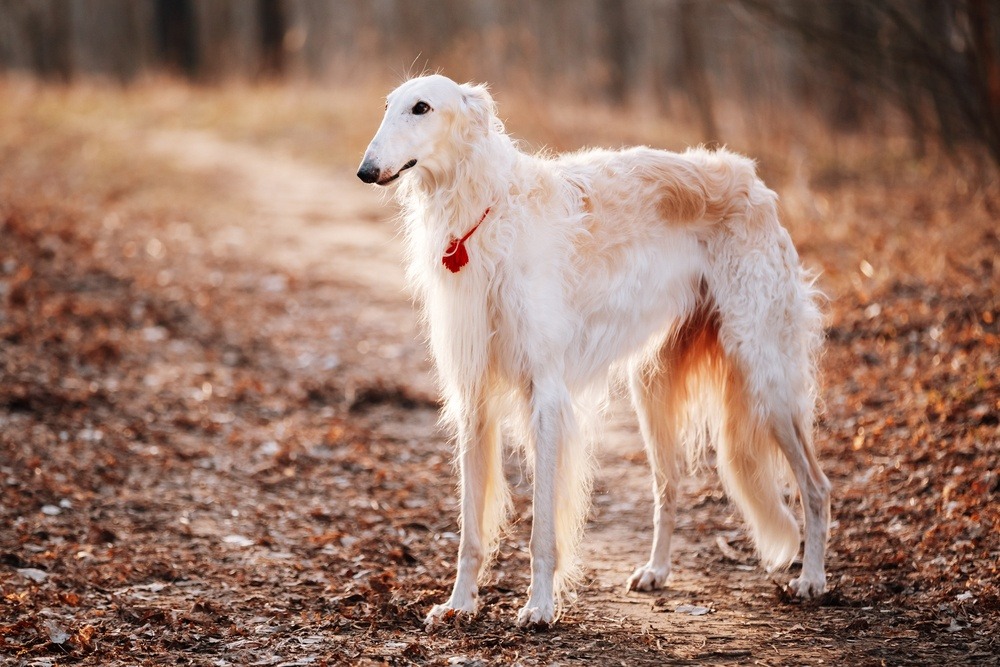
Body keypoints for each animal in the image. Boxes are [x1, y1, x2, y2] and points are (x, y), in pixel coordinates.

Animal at [356, 75, 832, 628]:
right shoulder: (473, 396)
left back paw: (812, 578)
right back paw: (656, 570)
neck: (486, 213)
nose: (366, 171)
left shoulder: (546, 394)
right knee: (669, 488)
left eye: (422, 107)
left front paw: (539, 606)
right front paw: (458, 604)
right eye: (387, 106)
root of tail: (754, 181)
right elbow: (470, 531)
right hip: (653, 388)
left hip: (764, 373)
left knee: (817, 486)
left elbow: (542, 529)